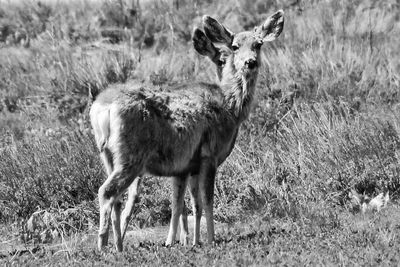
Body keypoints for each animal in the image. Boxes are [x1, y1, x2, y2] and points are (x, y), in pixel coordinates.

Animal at [90, 11, 284, 253]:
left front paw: (190, 241)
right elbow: (207, 200)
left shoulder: (187, 166)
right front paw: (210, 240)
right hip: (131, 156)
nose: (251, 62)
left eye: (258, 44)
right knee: (107, 192)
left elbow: (187, 204)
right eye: (235, 46)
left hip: (108, 156)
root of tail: (102, 107)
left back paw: (118, 245)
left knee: (116, 198)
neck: (230, 107)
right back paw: (103, 246)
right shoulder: (209, 154)